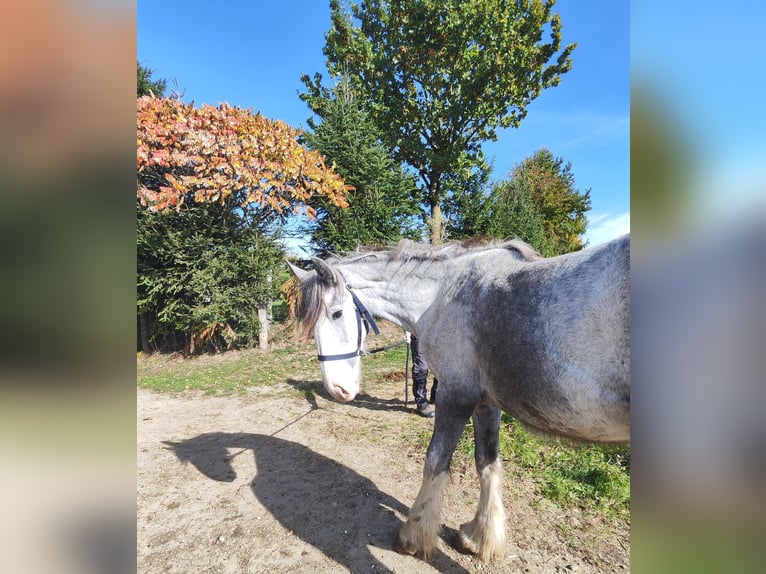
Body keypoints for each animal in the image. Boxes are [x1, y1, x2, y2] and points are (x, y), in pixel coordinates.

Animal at [287, 234, 630, 562]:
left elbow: (435, 462)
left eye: (337, 313)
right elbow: (487, 464)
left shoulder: (454, 395)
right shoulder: (486, 403)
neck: (442, 295)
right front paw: (480, 536)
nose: (337, 390)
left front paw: (414, 536)